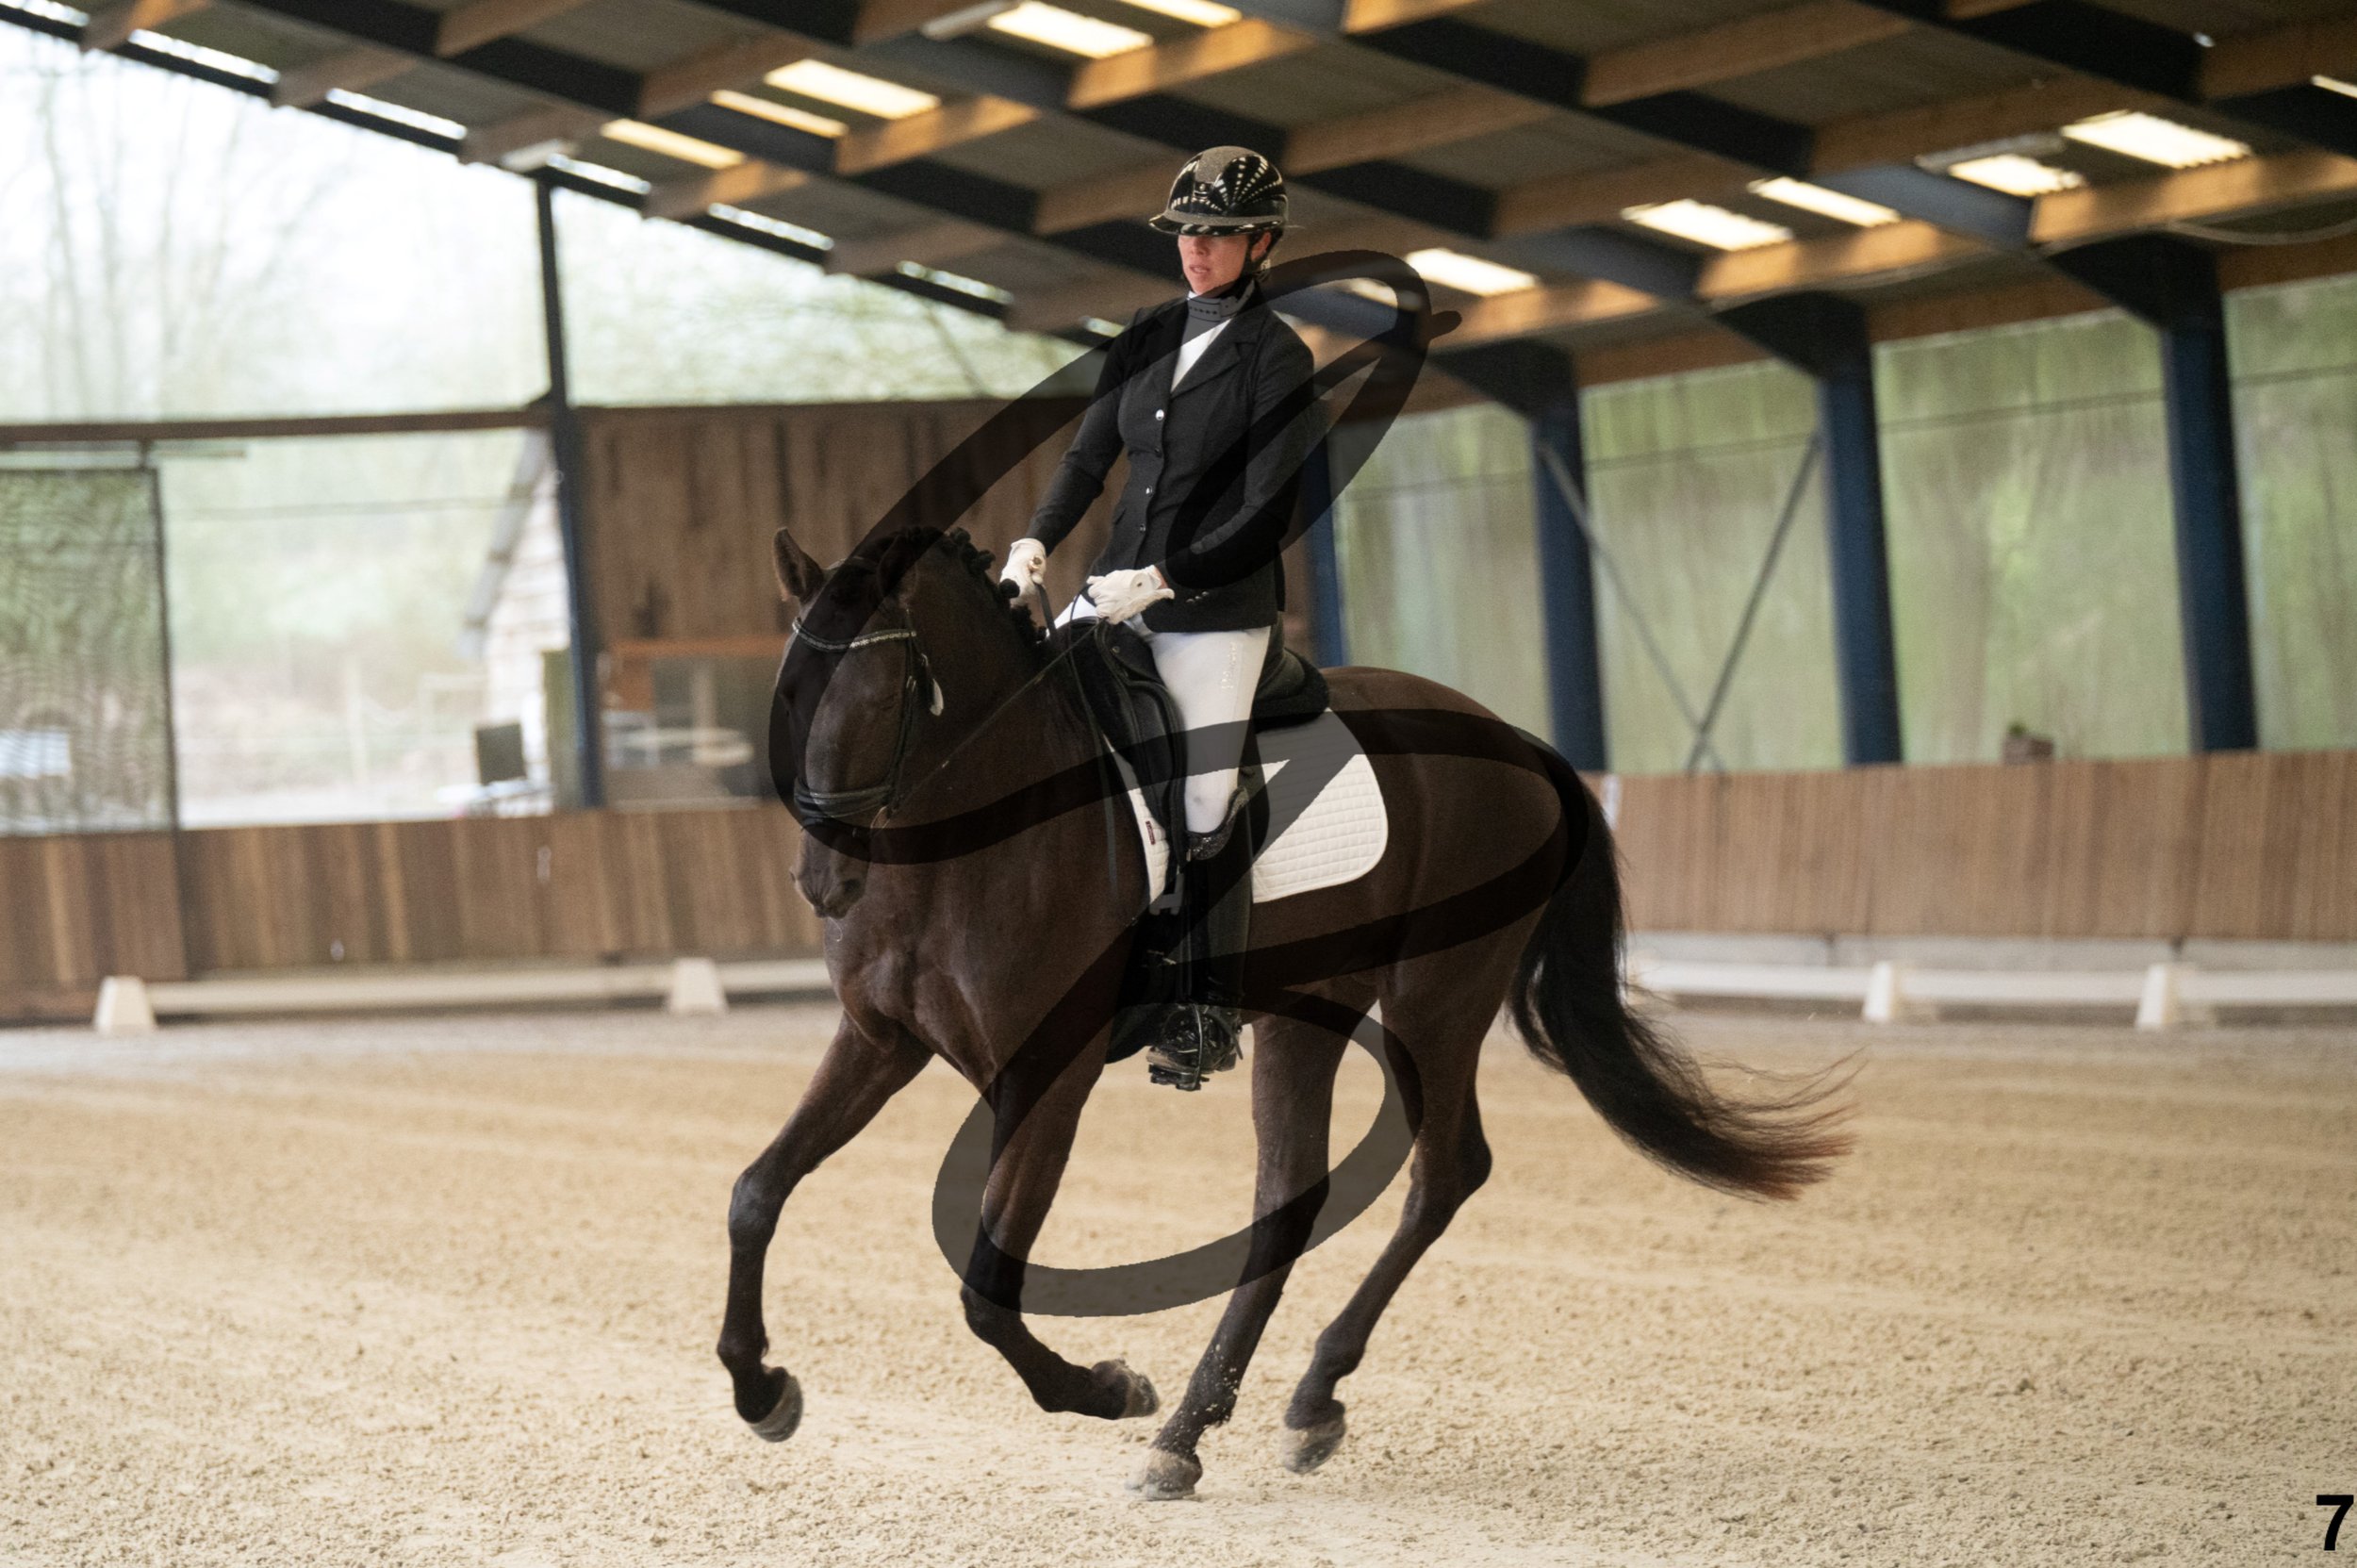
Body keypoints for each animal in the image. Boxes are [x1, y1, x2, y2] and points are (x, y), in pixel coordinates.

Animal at [718, 522, 1850, 1500]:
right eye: (785, 692)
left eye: (883, 687)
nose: (822, 881)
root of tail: (1519, 743)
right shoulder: (879, 1041)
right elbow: (755, 1192)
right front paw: (760, 1388)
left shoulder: (1049, 1073)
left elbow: (987, 1287)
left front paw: (1107, 1389)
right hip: (1313, 1013)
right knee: (1293, 1194)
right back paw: (1242, 1417)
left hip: (1437, 997)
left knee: (1443, 1170)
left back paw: (1233, 1412)